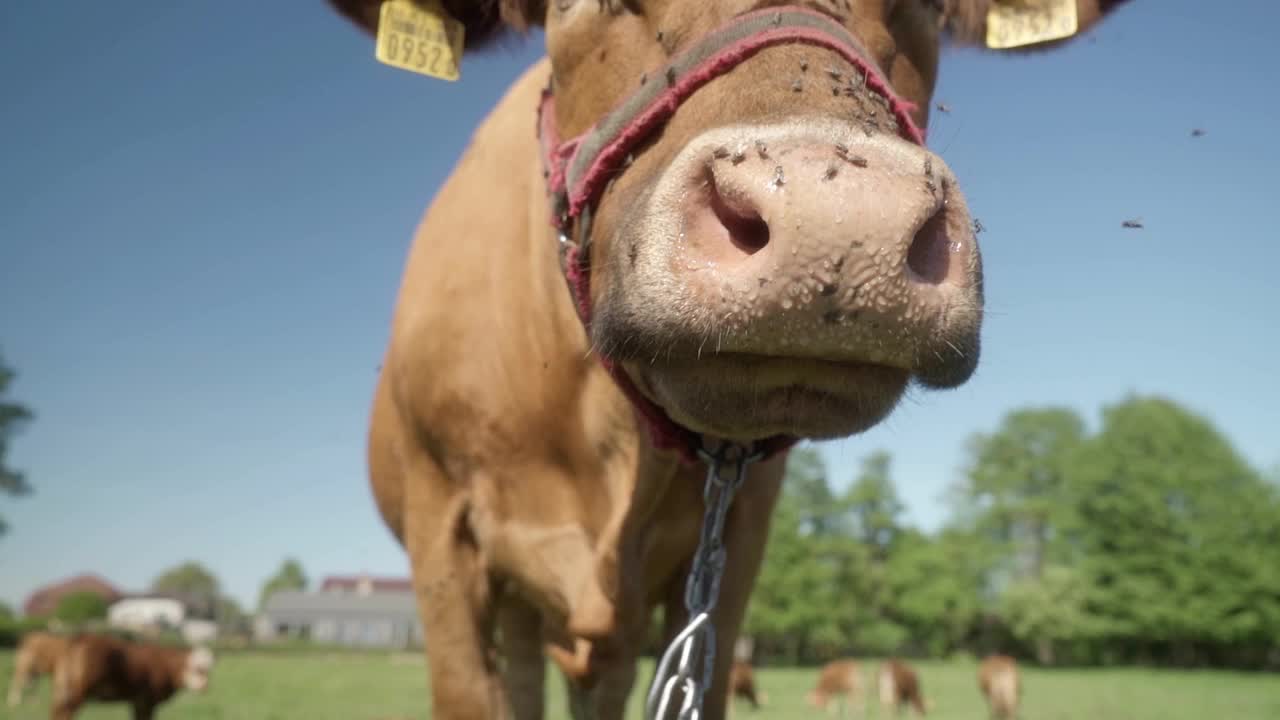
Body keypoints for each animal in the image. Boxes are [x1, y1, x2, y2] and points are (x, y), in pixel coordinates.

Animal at [49, 632, 212, 717]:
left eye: (208, 669)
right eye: (198, 669)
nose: (204, 687)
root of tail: (82, 636)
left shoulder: (137, 701)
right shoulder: (148, 701)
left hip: (62, 688)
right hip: (78, 691)